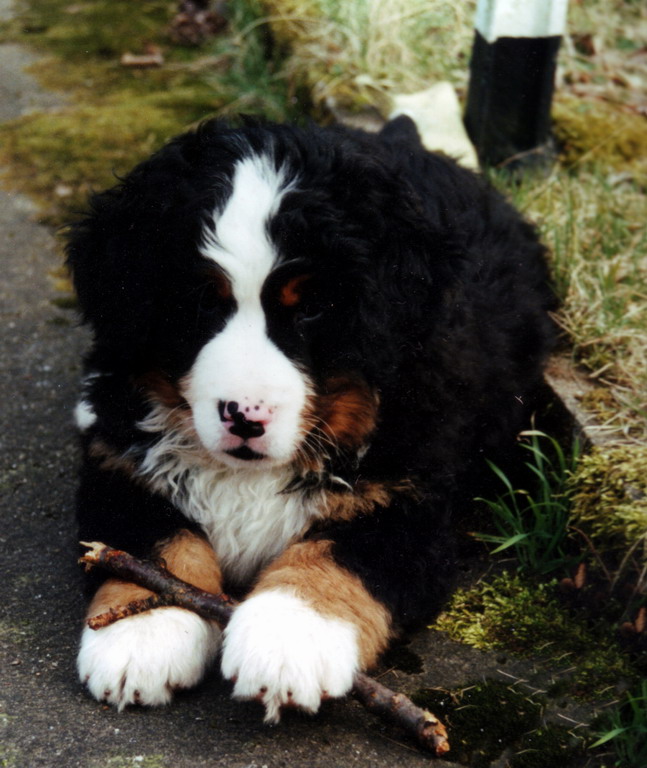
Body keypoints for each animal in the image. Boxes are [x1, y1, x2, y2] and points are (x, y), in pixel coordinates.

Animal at [69, 114, 556, 720]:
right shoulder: (120, 459)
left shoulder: (409, 500)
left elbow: (340, 553)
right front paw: (143, 631)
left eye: (314, 308)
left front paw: (287, 639)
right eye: (200, 301)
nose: (245, 417)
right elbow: (150, 541)